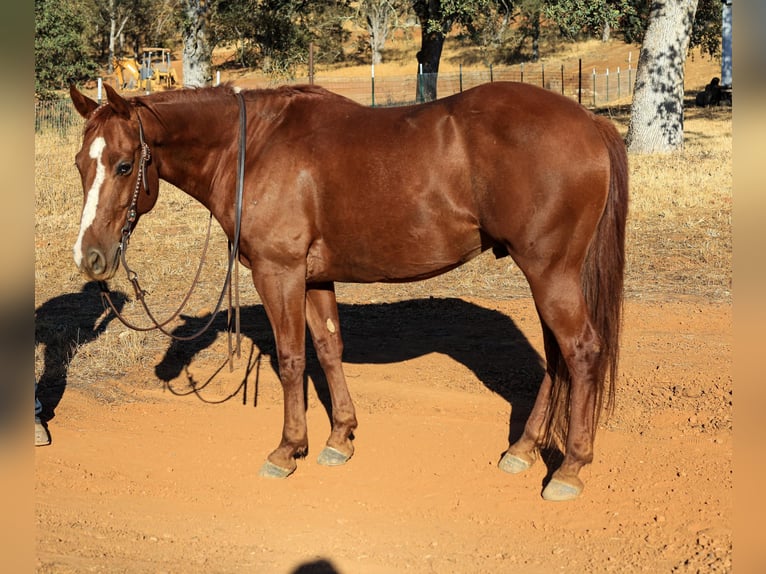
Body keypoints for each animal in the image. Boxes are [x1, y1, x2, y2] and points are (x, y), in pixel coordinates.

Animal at [69, 81, 628, 501]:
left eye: (124, 164)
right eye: (80, 163)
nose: (90, 257)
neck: (253, 148)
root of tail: (591, 122)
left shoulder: (279, 272)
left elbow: (292, 358)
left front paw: (288, 449)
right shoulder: (314, 276)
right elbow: (328, 347)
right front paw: (340, 437)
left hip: (550, 272)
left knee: (580, 352)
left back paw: (569, 469)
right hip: (548, 275)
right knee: (557, 358)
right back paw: (523, 450)